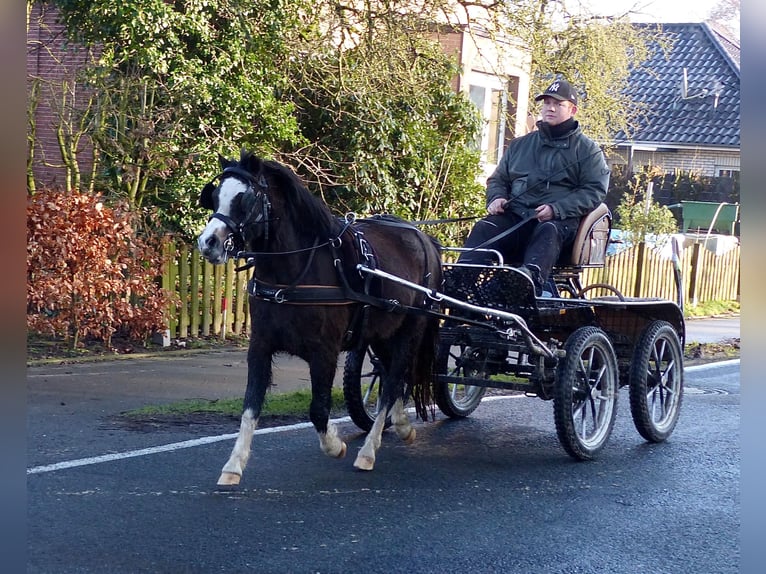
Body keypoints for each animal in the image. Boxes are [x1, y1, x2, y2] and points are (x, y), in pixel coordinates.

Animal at [196, 151, 444, 488]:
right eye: (214, 196)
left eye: (243, 198)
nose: (208, 242)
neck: (296, 274)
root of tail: (423, 237)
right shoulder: (260, 347)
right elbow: (250, 406)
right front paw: (233, 466)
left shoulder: (323, 351)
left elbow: (318, 410)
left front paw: (336, 445)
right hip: (382, 335)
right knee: (392, 376)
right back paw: (402, 425)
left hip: (409, 331)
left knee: (393, 382)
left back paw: (368, 451)